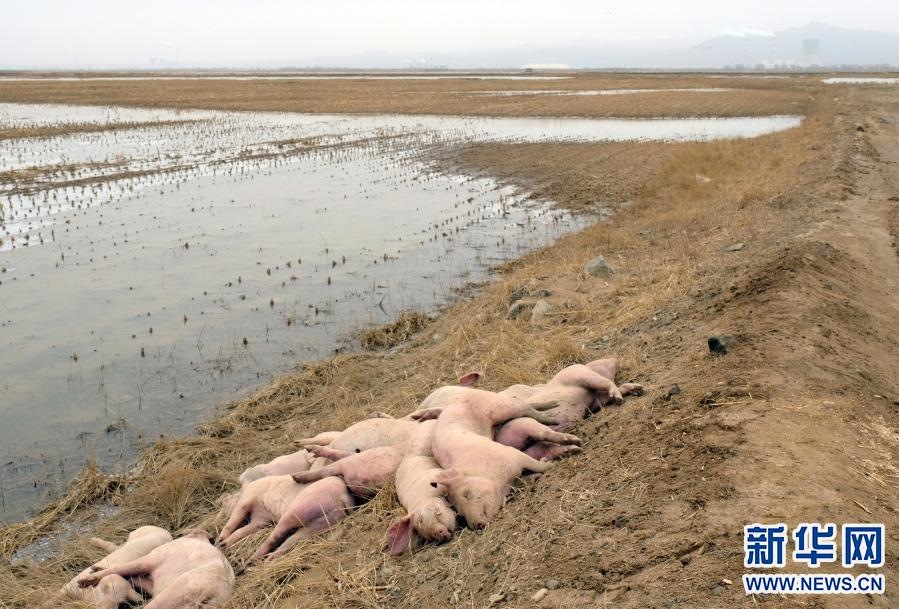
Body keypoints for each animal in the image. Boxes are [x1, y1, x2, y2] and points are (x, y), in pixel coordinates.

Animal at [78, 529, 234, 609]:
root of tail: (213, 595)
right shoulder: (154, 584)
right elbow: (133, 577)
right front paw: (96, 569)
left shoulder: (151, 559)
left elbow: (124, 568)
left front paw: (86, 579)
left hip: (179, 589)